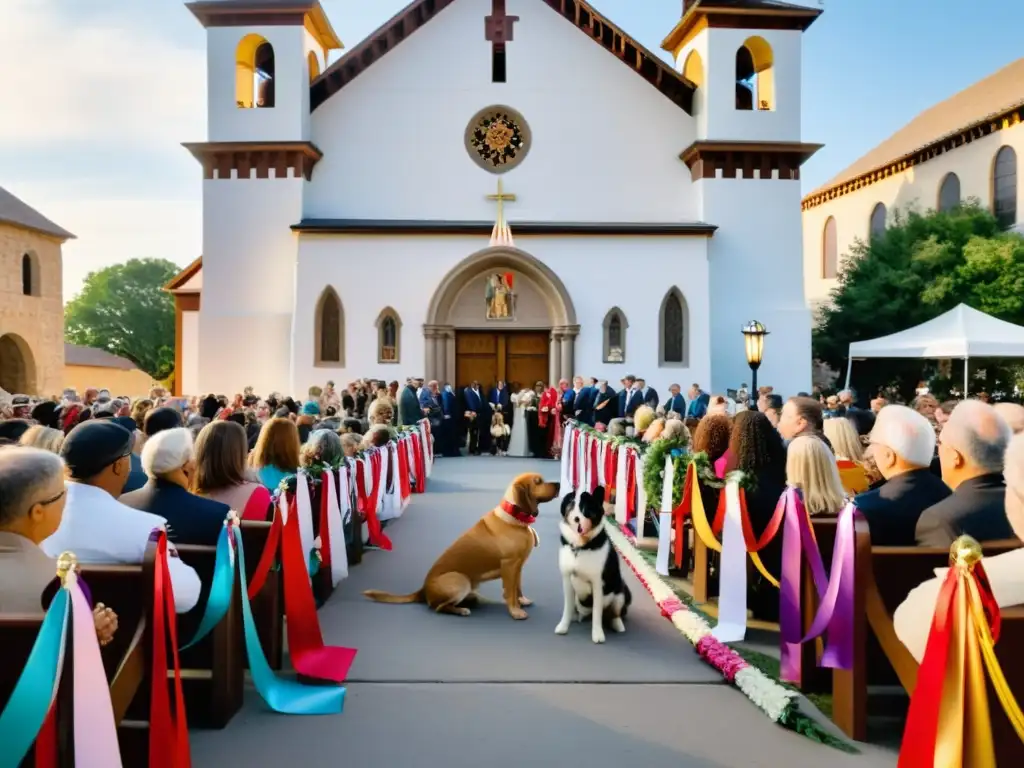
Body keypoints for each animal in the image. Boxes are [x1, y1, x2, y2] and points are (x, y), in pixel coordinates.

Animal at [364, 475, 561, 618]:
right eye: (538, 482)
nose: (559, 484)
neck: (516, 518)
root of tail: (423, 589)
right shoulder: (509, 566)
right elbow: (510, 593)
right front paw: (516, 611)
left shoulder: (518, 567)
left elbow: (517, 588)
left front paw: (523, 601)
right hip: (460, 580)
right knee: (438, 607)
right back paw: (461, 610)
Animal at [557, 487, 626, 643]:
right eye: (571, 504)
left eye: (587, 508)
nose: (577, 519)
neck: (581, 546)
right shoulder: (567, 579)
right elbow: (567, 608)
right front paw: (563, 626)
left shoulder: (598, 583)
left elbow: (596, 613)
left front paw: (597, 634)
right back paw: (576, 616)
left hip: (621, 593)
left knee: (615, 613)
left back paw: (617, 624)